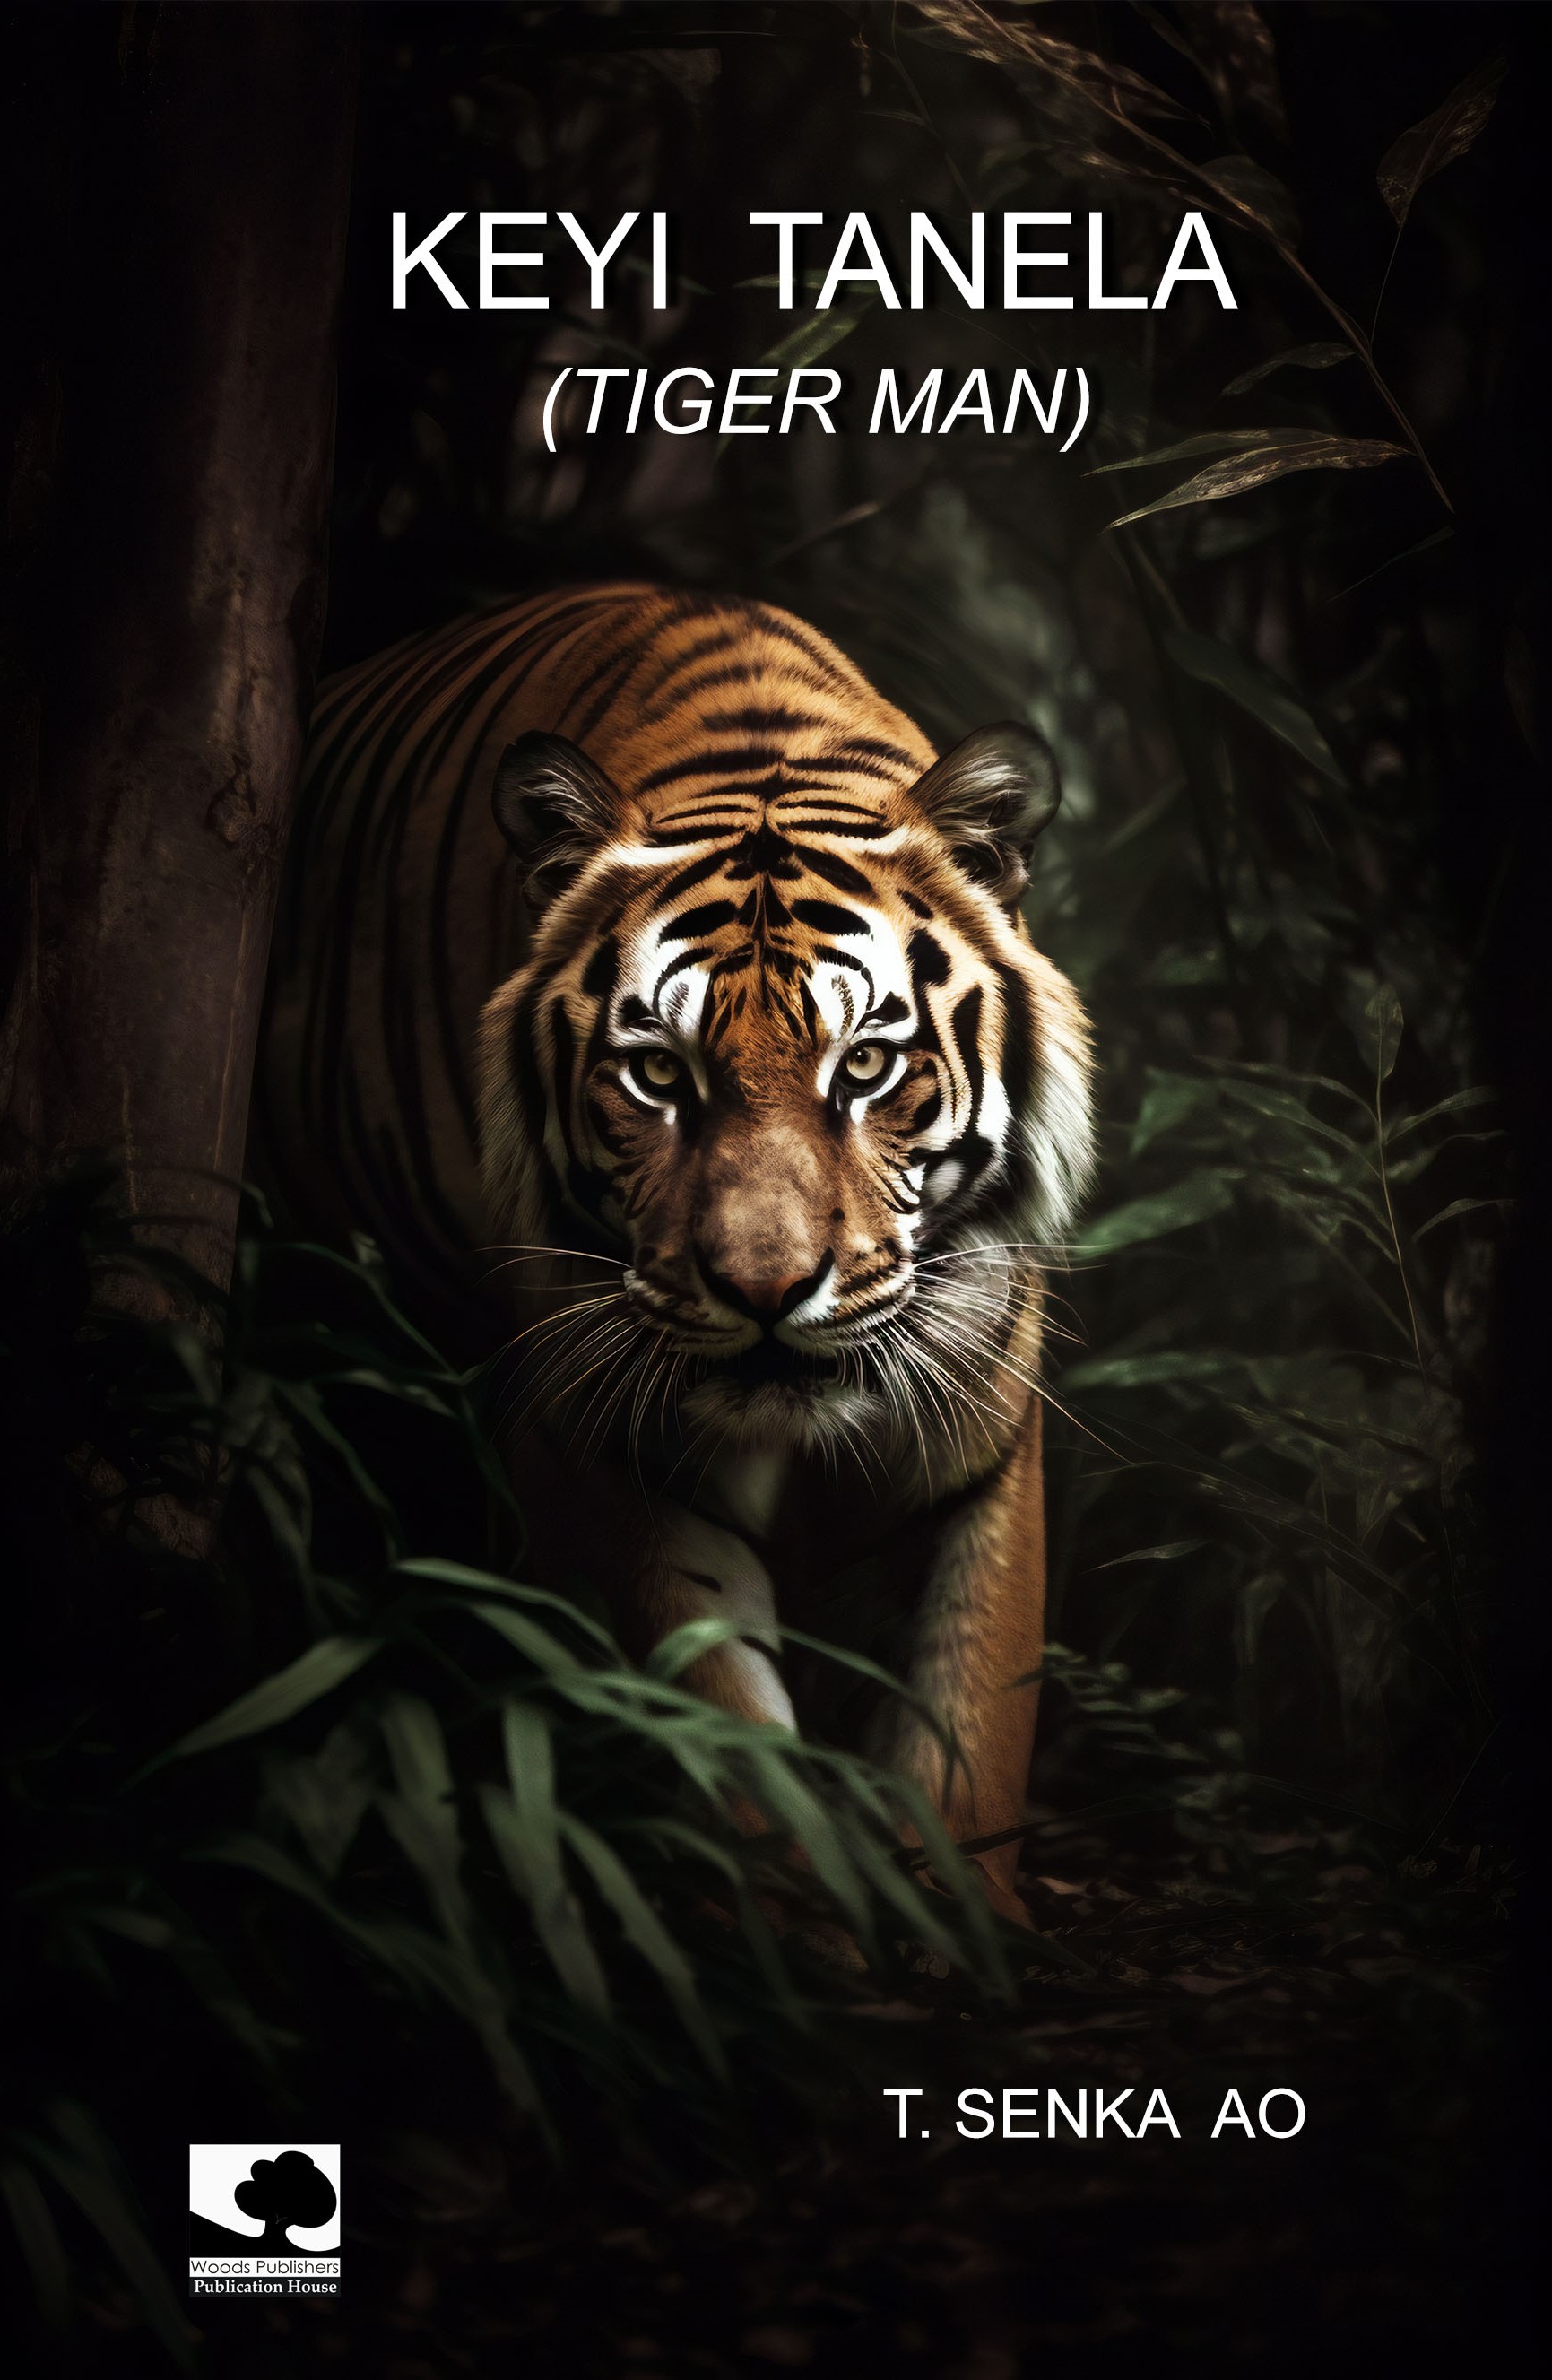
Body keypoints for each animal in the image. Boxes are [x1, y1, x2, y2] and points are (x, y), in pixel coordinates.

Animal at [256, 585, 1095, 1922]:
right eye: (657, 1073)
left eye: (867, 1064)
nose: (763, 1289)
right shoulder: (594, 1427)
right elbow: (720, 1720)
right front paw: (794, 1925)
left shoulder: (980, 1426)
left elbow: (970, 1714)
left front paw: (956, 1920)